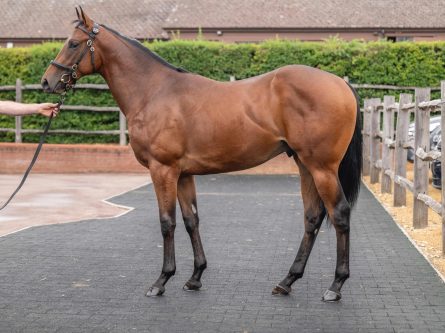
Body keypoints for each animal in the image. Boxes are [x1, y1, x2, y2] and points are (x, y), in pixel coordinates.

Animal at [41, 7, 360, 300]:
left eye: (73, 43)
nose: (47, 82)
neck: (153, 92)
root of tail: (341, 83)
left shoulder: (163, 169)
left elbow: (167, 222)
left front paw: (161, 280)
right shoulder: (183, 174)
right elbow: (191, 220)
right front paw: (195, 277)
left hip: (322, 168)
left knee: (340, 213)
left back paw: (336, 285)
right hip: (306, 165)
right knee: (312, 218)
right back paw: (287, 281)